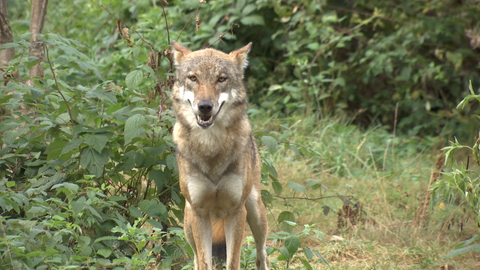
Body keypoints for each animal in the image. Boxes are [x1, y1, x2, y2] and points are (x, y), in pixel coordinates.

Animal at [172, 40, 270, 270]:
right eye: (193, 78)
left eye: (221, 79)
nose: (205, 107)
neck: (211, 148)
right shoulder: (199, 213)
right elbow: (205, 262)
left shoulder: (237, 211)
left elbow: (233, 262)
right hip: (188, 222)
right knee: (196, 258)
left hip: (256, 212)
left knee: (262, 254)